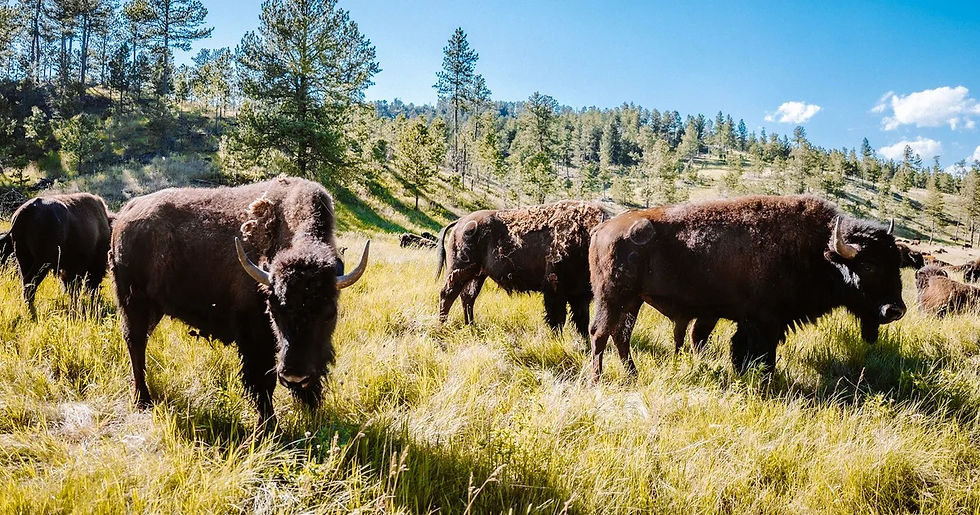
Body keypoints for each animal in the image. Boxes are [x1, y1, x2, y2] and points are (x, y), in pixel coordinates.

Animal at [109, 177, 368, 424]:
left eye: (330, 313)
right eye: (273, 311)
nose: (294, 375)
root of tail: (127, 212)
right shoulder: (255, 338)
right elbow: (262, 382)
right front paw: (269, 425)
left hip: (153, 309)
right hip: (133, 303)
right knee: (135, 343)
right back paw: (142, 399)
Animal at [437, 200, 609, 338]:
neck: (585, 236)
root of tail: (460, 222)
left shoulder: (580, 296)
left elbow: (582, 322)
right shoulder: (555, 288)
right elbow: (558, 319)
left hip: (478, 274)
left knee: (467, 298)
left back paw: (471, 325)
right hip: (459, 270)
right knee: (448, 295)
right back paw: (442, 325)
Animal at [588, 195, 906, 380]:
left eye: (897, 263)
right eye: (869, 266)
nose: (895, 310)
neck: (818, 249)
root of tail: (603, 229)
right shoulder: (765, 322)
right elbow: (762, 356)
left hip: (633, 301)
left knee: (621, 336)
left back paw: (632, 376)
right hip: (612, 297)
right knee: (600, 334)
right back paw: (597, 380)